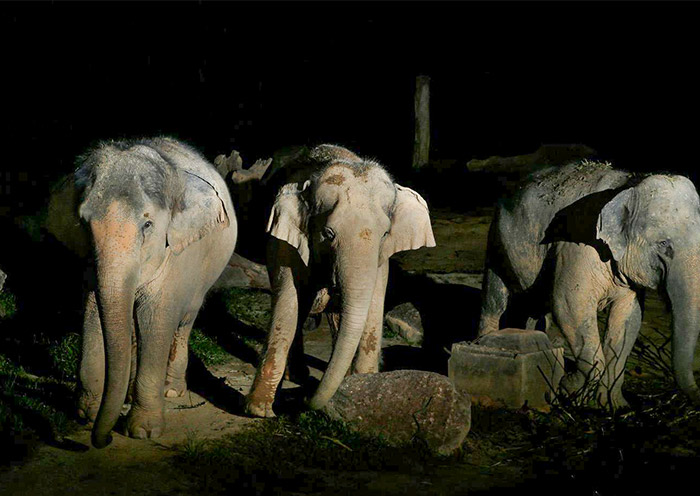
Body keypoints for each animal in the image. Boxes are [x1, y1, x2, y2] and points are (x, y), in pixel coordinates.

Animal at [74, 137, 236, 448]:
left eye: (147, 225)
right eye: (83, 223)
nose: (104, 440)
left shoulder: (175, 254)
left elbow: (156, 319)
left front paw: (143, 431)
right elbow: (92, 312)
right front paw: (87, 414)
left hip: (204, 275)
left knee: (185, 319)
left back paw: (171, 390)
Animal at [246, 144, 435, 417]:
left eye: (385, 233)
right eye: (328, 233)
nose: (304, 400)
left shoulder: (382, 257)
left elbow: (373, 304)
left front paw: (365, 392)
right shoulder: (285, 243)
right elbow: (289, 304)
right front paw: (260, 411)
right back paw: (299, 376)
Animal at [478, 160, 700, 408]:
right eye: (663, 244)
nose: (695, 396)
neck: (628, 186)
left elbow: (628, 318)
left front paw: (614, 406)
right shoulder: (577, 248)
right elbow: (569, 306)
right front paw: (571, 389)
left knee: (534, 308)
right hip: (497, 244)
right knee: (496, 300)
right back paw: (485, 344)